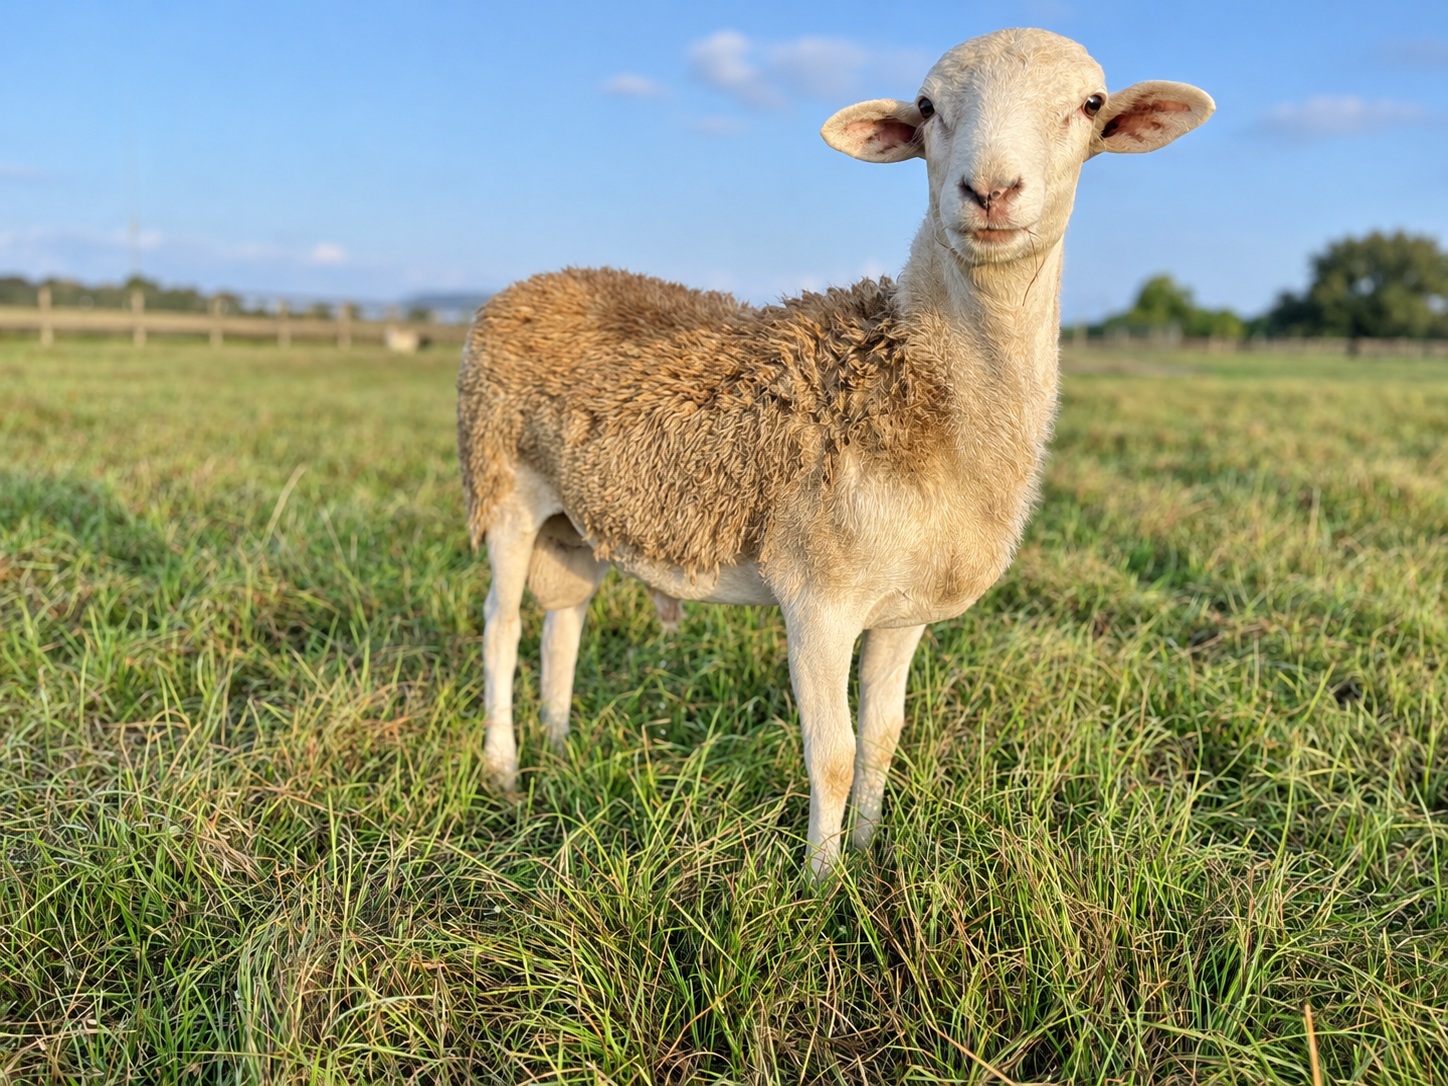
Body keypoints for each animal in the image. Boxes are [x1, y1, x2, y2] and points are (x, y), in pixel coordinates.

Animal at [458, 27, 1213, 879]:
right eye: (926, 107)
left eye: (1089, 104)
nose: (988, 191)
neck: (918, 385)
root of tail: (524, 285)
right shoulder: (815, 599)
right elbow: (834, 756)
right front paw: (820, 888)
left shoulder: (902, 611)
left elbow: (882, 739)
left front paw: (869, 854)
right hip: (504, 485)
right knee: (500, 628)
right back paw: (505, 769)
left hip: (577, 521)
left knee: (565, 619)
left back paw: (559, 745)